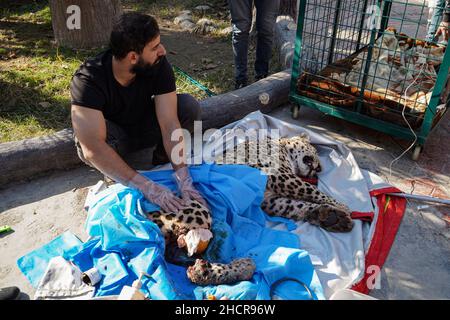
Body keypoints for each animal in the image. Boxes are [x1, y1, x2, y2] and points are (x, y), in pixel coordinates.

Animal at [213, 132, 354, 232]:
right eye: (315, 151)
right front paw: (342, 206)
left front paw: (333, 218)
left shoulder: (269, 200)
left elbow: (295, 206)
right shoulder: (280, 175)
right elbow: (311, 190)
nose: (319, 169)